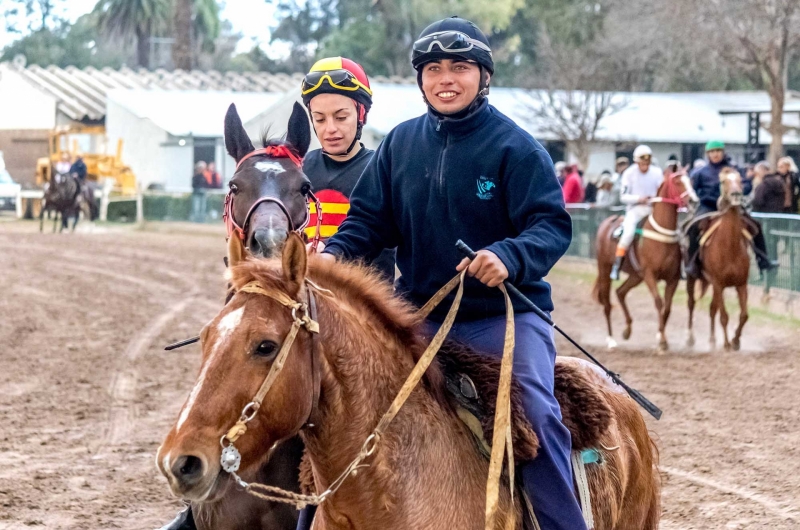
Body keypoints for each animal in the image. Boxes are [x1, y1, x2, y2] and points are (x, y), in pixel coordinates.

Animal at [592, 169, 700, 348]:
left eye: (691, 181)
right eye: (677, 182)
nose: (694, 201)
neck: (661, 236)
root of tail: (606, 222)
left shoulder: (673, 278)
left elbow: (667, 308)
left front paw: (661, 336)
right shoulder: (650, 274)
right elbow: (659, 302)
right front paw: (662, 341)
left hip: (636, 275)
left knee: (620, 292)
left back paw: (627, 330)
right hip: (605, 268)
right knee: (607, 303)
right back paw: (611, 339)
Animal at [684, 169, 752, 348]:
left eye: (740, 180)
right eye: (723, 181)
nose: (736, 194)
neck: (730, 249)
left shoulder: (741, 284)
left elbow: (744, 315)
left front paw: (735, 341)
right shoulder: (719, 284)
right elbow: (724, 316)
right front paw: (727, 344)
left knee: (712, 308)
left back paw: (712, 339)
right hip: (692, 278)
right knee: (691, 304)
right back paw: (690, 338)